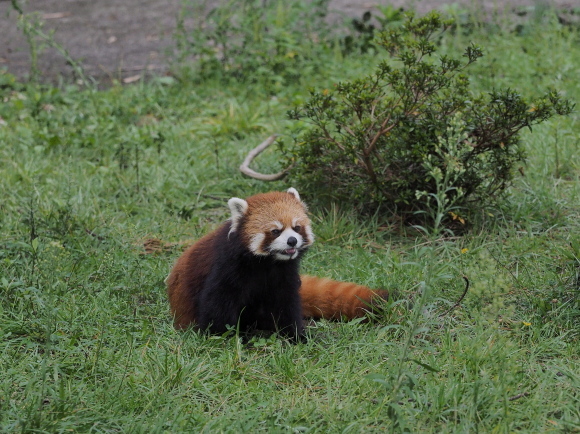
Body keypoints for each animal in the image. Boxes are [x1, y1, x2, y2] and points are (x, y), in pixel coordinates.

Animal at [165, 188, 388, 340]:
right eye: (275, 231)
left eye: (296, 228)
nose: (292, 241)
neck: (267, 263)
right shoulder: (226, 266)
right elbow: (217, 303)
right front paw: (227, 336)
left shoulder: (284, 275)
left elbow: (285, 304)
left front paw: (297, 335)